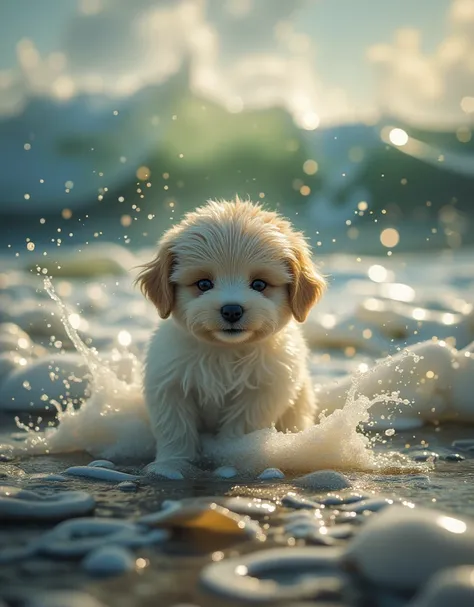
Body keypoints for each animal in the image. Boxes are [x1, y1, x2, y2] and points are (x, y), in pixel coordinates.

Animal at [137, 200, 326, 480]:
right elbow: (175, 429)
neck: (225, 351)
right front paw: (173, 465)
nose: (232, 310)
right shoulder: (168, 384)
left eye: (259, 284)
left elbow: (240, 427)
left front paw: (231, 456)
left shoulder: (263, 391)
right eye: (204, 284)